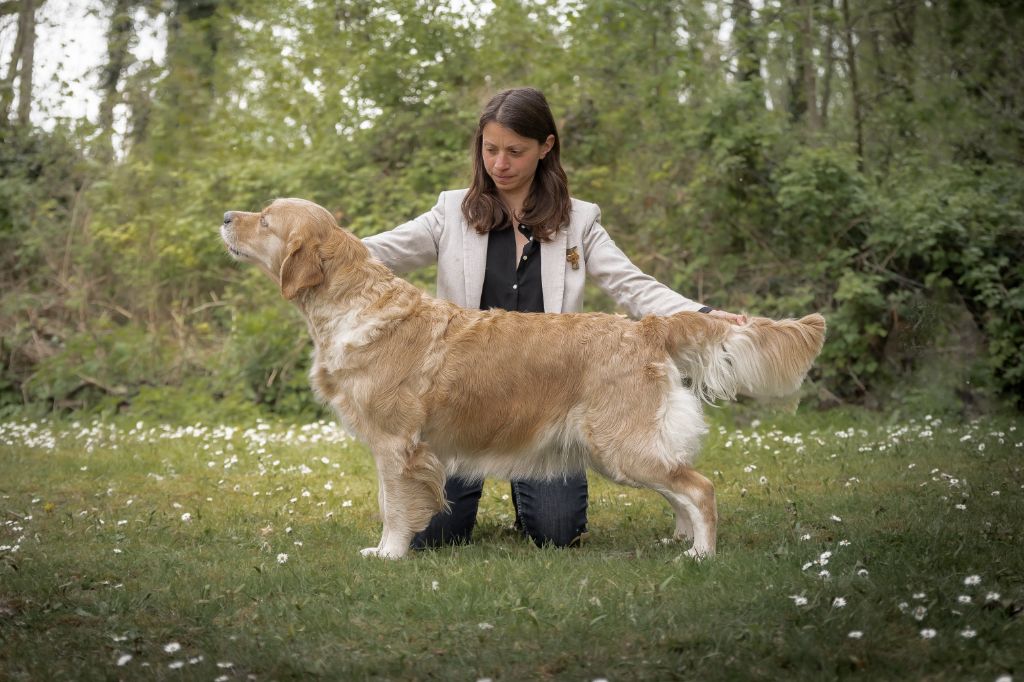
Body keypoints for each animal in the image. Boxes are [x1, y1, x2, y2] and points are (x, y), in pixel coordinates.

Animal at [220, 196, 827, 557]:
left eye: (266, 220)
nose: (227, 216)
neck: (353, 306)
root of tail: (646, 327)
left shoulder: (397, 445)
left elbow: (394, 506)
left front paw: (389, 554)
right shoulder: (393, 448)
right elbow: (390, 501)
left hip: (619, 444)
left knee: (700, 488)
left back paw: (701, 553)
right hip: (626, 448)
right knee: (681, 487)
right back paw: (681, 541)